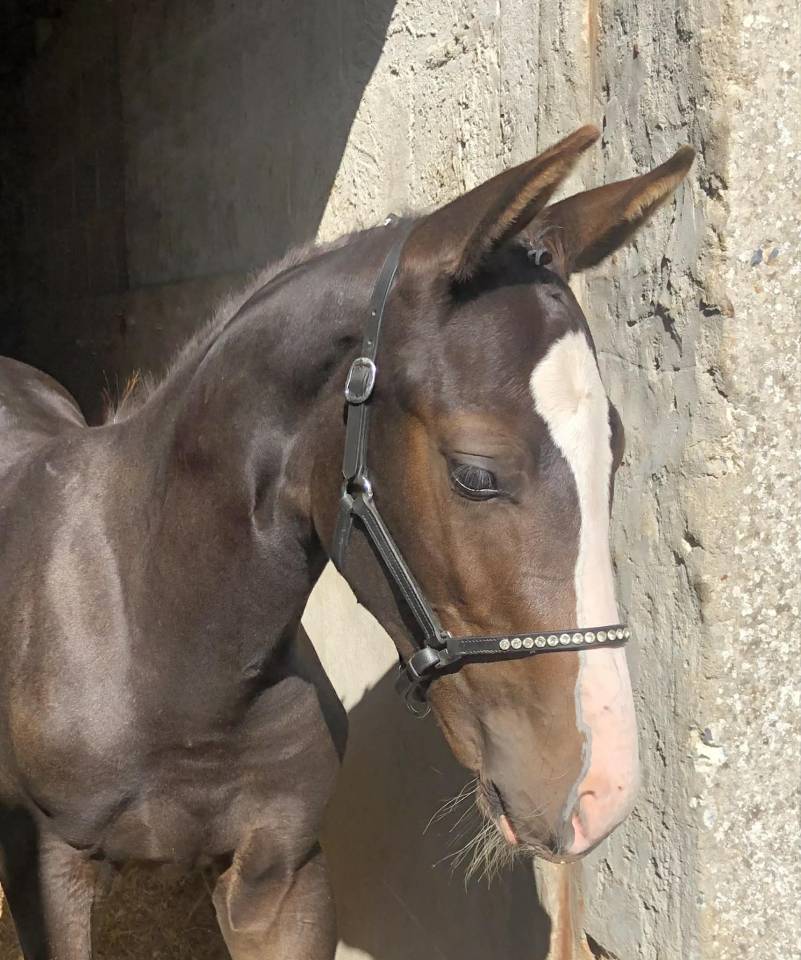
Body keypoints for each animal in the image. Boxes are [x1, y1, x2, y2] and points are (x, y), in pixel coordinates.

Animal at [0, 125, 693, 959]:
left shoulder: (282, 878)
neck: (155, 647)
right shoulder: (50, 875)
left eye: (613, 453)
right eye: (474, 472)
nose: (600, 788)